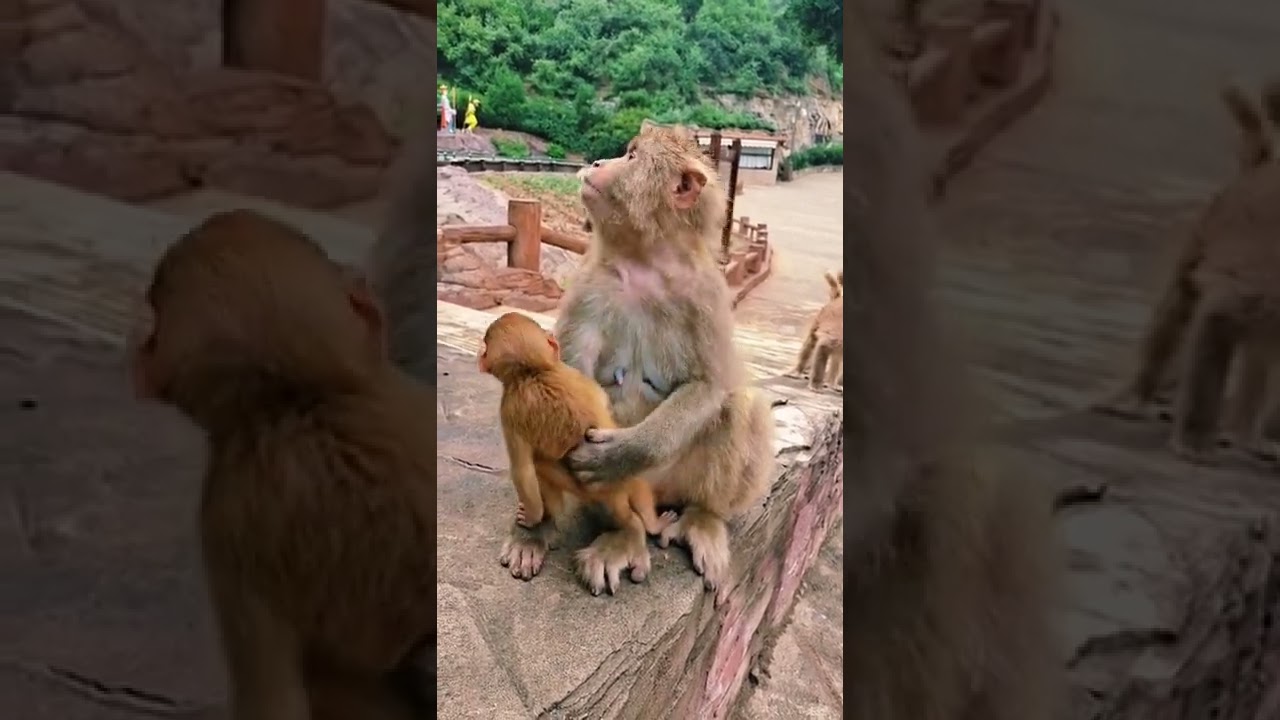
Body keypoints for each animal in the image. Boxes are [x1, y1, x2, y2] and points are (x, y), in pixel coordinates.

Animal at [477, 311, 677, 583]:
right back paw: (651, 522)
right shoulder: (576, 376)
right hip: (624, 481)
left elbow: (523, 472)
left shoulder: (507, 410)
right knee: (639, 488)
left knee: (540, 467)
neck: (535, 372)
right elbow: (603, 403)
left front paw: (531, 518)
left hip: (588, 491)